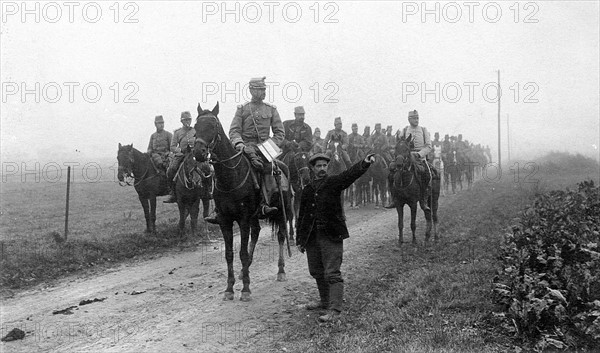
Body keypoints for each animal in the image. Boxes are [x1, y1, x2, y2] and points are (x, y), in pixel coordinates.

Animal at [192, 101, 292, 300]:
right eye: (196, 126)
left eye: (213, 125)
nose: (199, 152)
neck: (231, 176)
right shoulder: (225, 221)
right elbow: (229, 254)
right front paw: (229, 288)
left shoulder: (243, 219)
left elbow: (242, 253)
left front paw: (245, 289)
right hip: (255, 217)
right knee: (257, 232)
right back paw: (244, 271)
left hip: (281, 212)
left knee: (280, 236)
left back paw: (280, 271)